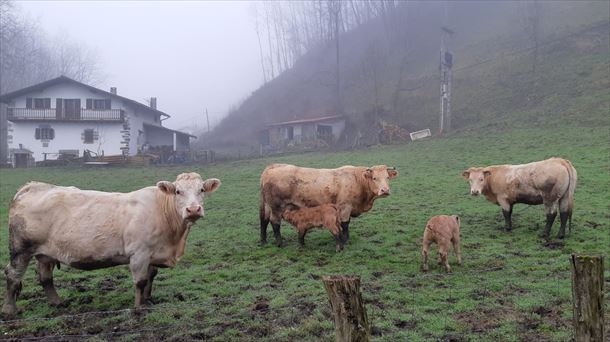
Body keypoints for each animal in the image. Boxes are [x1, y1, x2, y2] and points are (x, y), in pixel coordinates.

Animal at [1, 172, 221, 316]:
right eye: (177, 191)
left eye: (201, 189)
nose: (193, 210)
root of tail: (32, 186)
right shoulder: (139, 253)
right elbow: (140, 281)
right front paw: (139, 308)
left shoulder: (151, 253)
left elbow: (151, 276)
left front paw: (148, 300)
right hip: (21, 249)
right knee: (12, 275)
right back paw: (10, 310)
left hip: (45, 253)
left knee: (45, 277)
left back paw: (58, 303)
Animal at [255, 163, 394, 248]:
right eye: (375, 178)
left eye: (387, 177)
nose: (385, 190)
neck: (357, 180)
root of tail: (272, 167)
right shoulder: (345, 207)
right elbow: (345, 224)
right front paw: (345, 240)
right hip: (276, 207)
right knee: (274, 222)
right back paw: (280, 243)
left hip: (267, 206)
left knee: (264, 220)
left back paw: (263, 241)